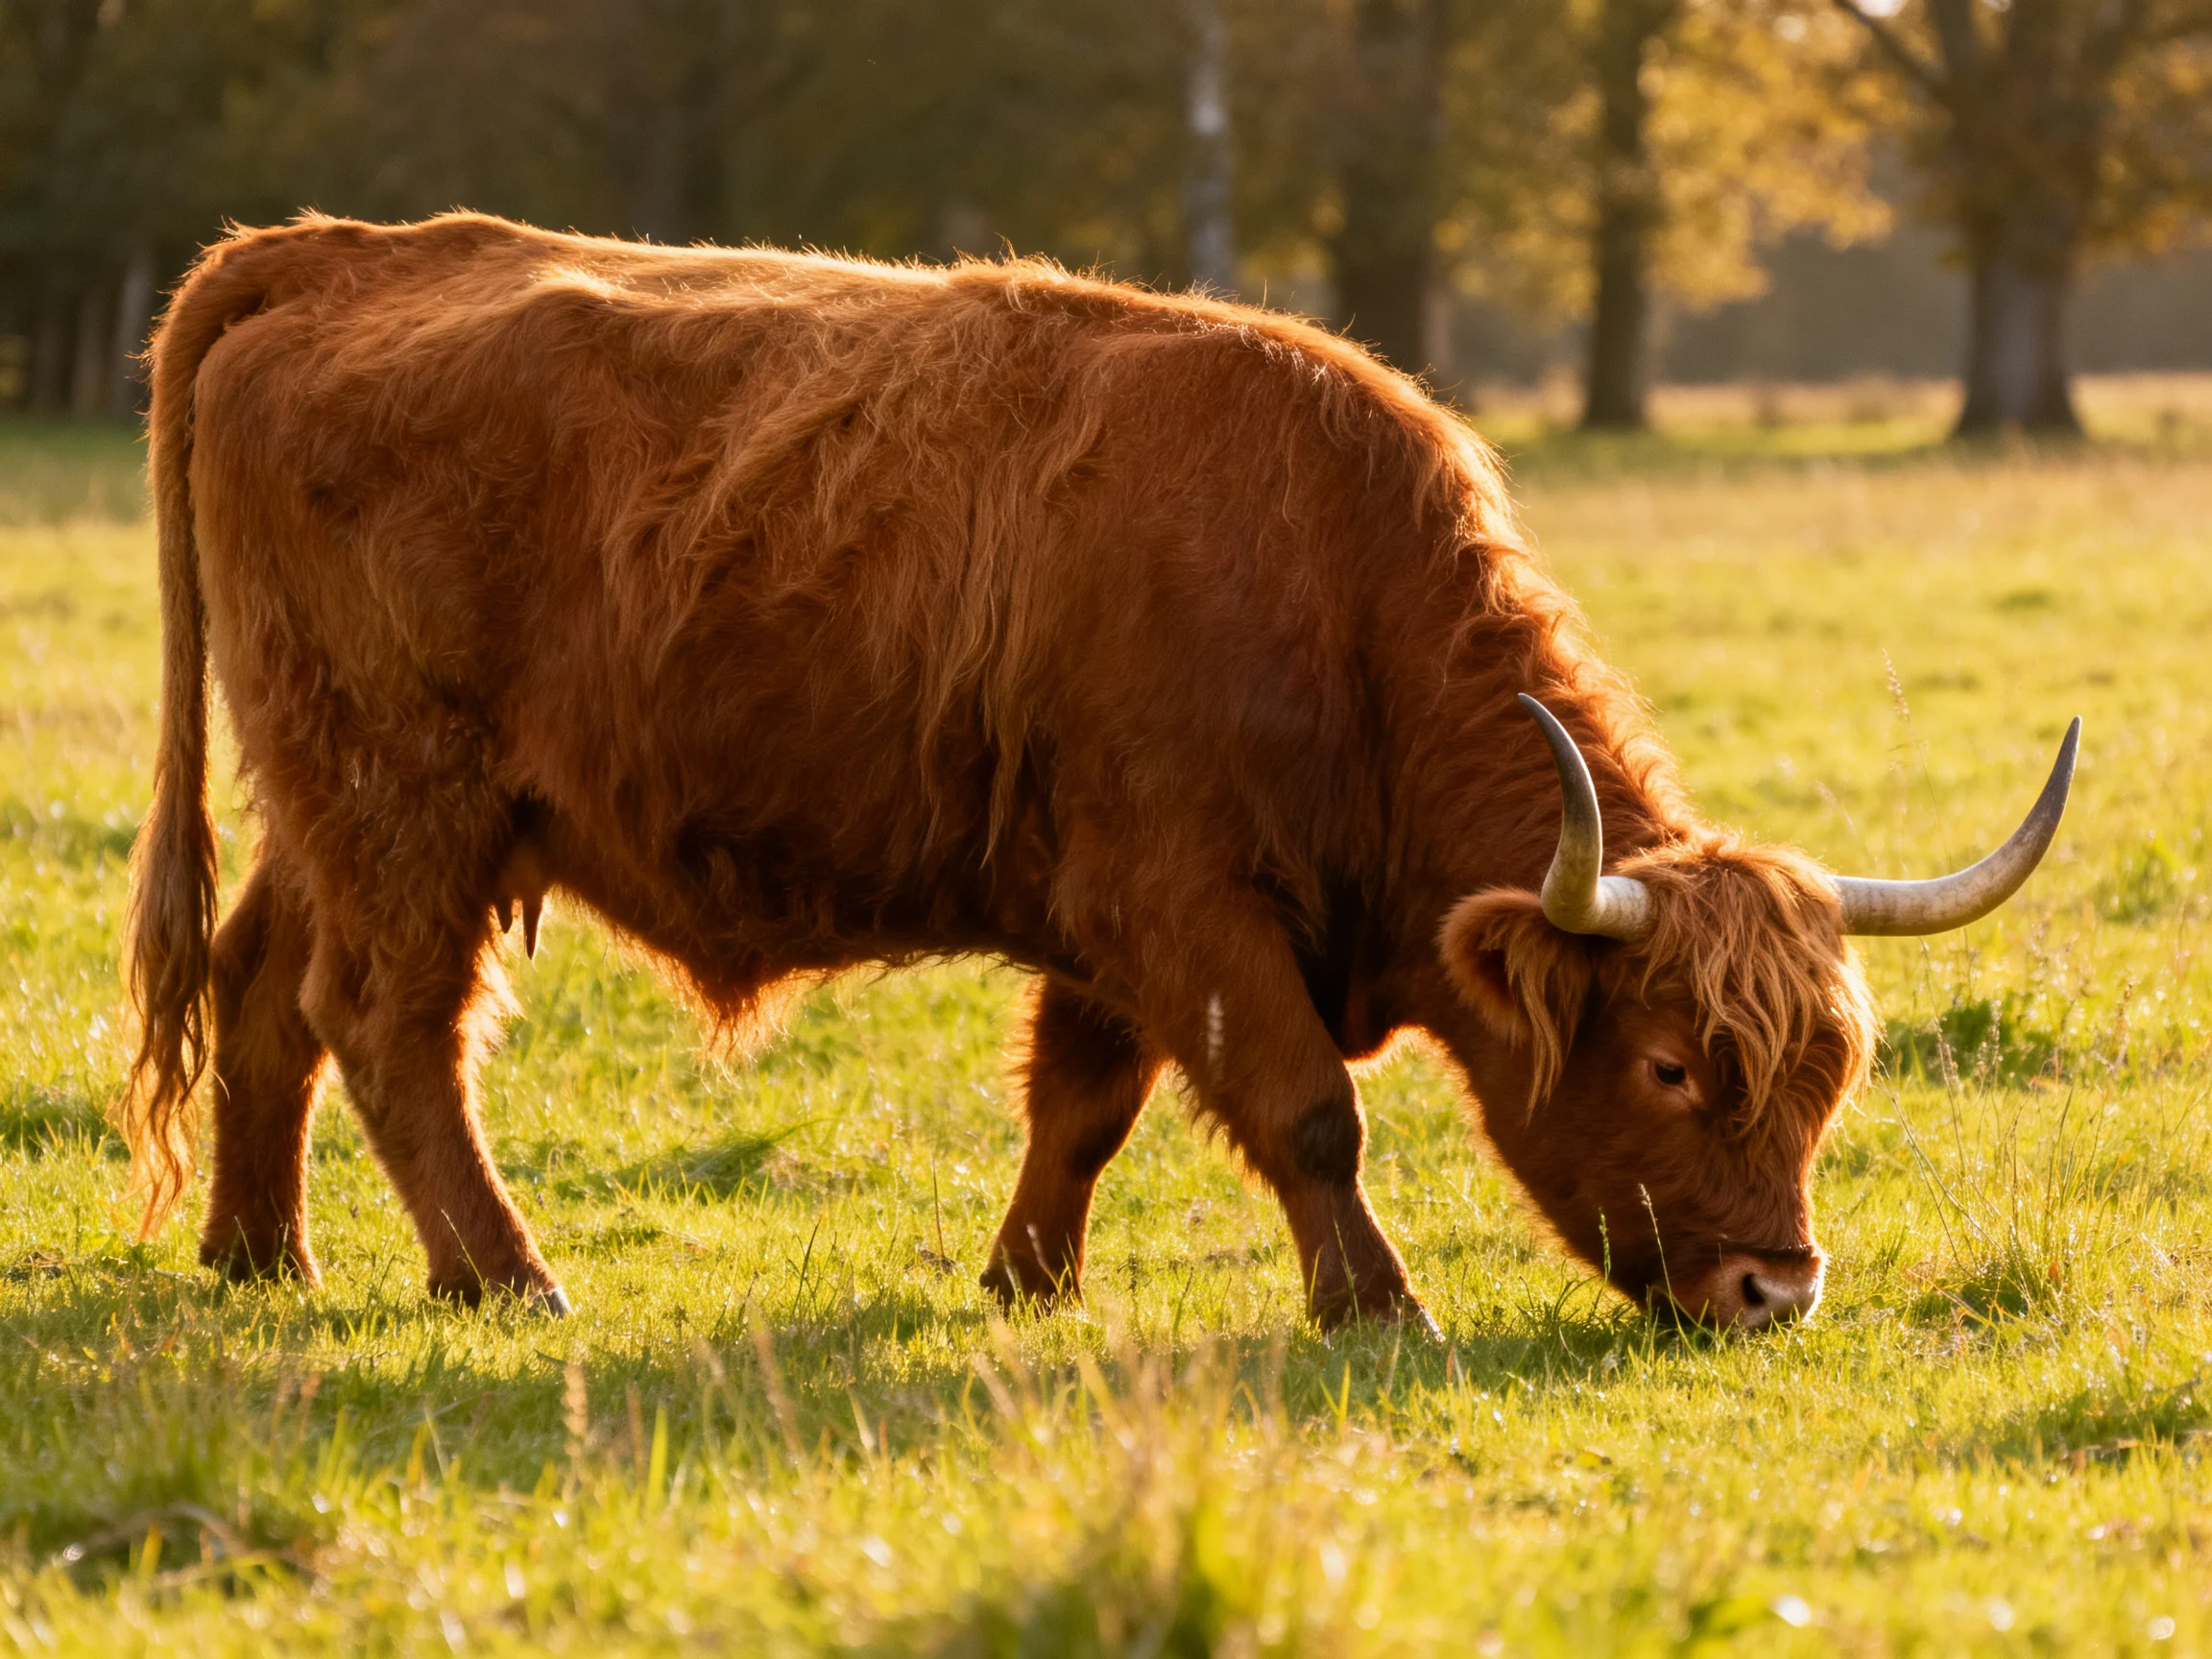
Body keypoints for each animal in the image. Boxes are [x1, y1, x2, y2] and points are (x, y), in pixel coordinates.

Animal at [123, 213, 2075, 1333]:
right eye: (1673, 1064)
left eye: (1830, 1072)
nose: (1772, 1287)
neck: (1333, 604)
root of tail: (330, 249)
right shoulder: (1186, 901)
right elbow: (1305, 1107)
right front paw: (1379, 1306)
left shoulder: (1105, 920)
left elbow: (1079, 1106)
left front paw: (1024, 1282)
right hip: (407, 799)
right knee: (388, 1025)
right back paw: (506, 1274)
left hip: (340, 803)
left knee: (264, 989)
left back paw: (259, 1251)